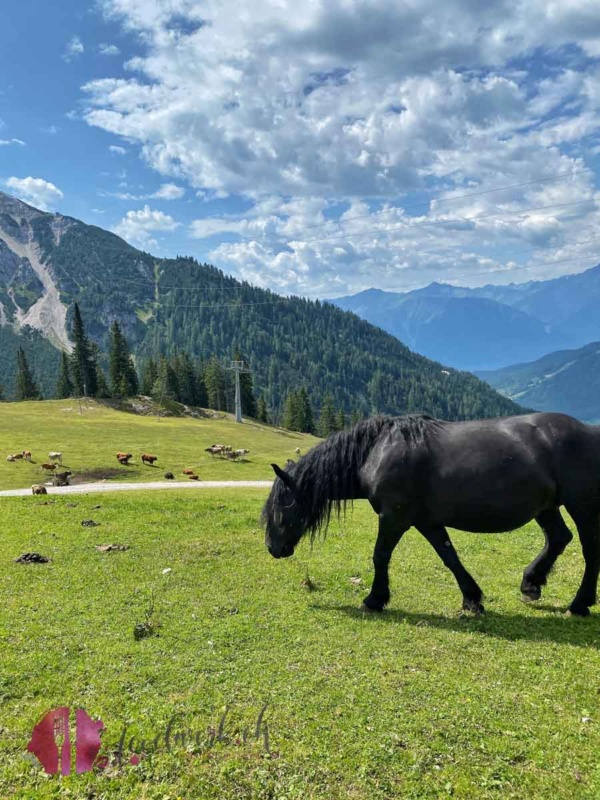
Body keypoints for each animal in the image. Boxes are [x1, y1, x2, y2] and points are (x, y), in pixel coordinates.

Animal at [262, 416, 600, 616]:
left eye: (281, 507)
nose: (272, 548)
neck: (376, 452)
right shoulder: (426, 521)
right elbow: (449, 557)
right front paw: (472, 599)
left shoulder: (394, 517)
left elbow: (380, 556)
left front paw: (375, 599)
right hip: (547, 507)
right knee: (558, 539)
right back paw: (531, 584)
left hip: (581, 505)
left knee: (589, 550)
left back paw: (580, 604)